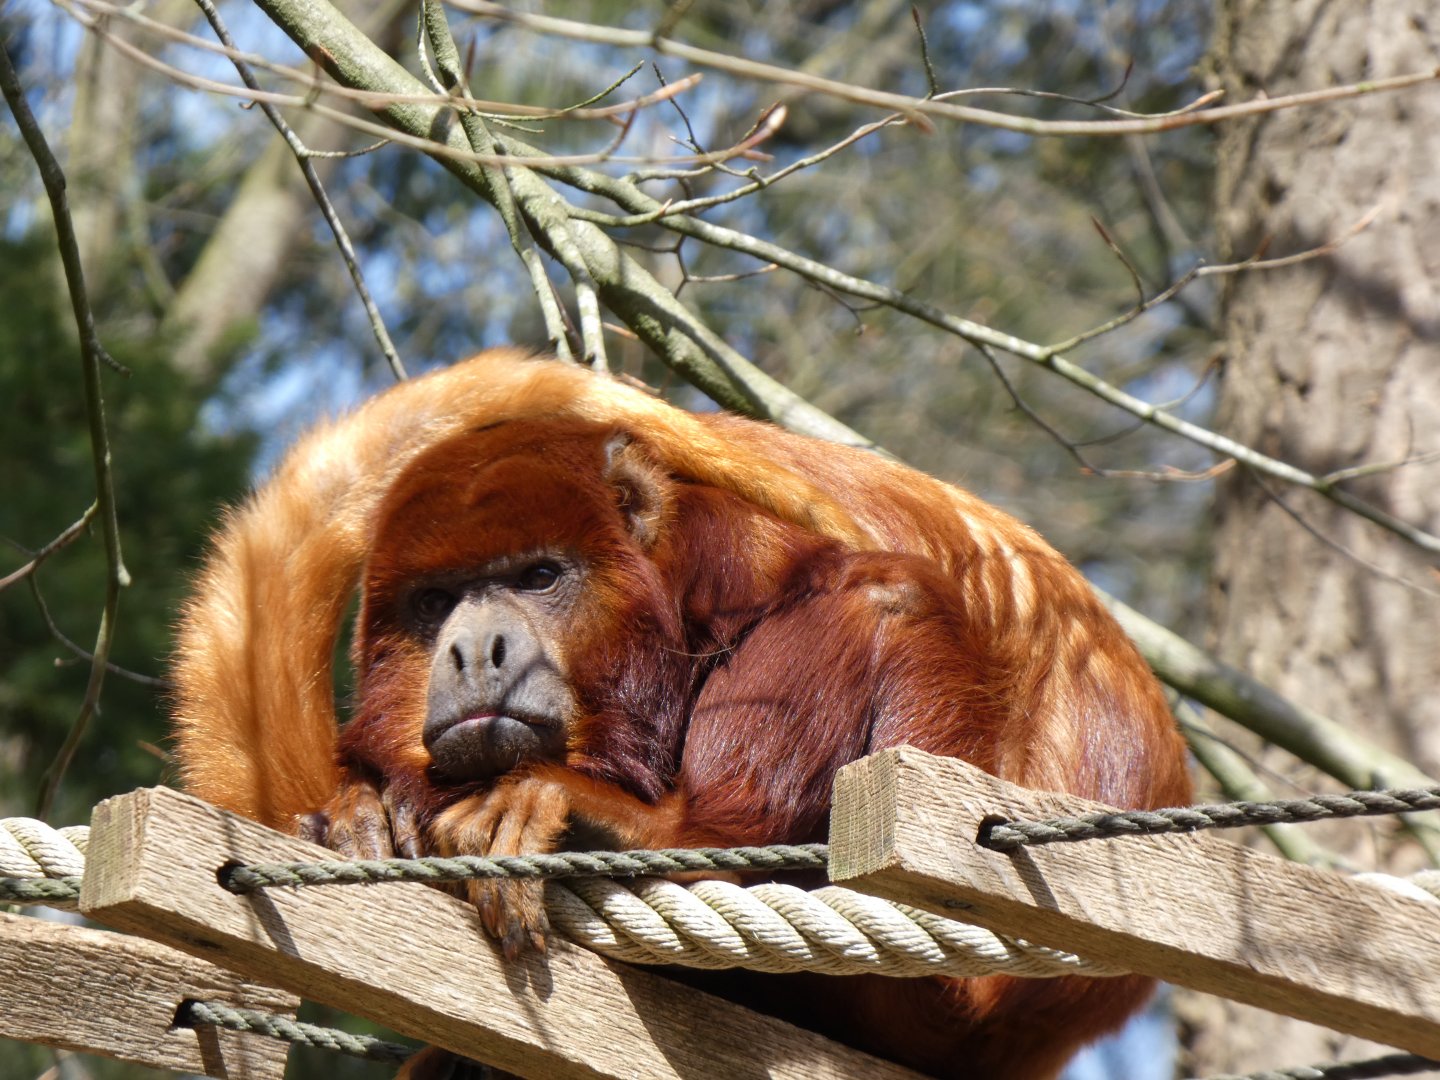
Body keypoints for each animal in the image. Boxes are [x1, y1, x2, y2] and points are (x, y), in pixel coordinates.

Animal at [172, 349, 1192, 1079]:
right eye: (436, 603)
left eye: (538, 578)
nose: (472, 650)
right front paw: (359, 812)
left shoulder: (743, 551)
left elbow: (852, 590)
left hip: (955, 1001)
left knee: (880, 597)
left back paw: (631, 829)